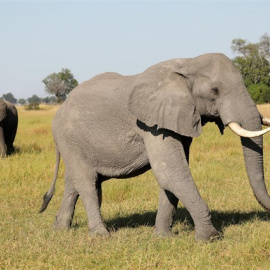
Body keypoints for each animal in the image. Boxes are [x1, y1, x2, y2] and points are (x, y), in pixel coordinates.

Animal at [39, 52, 270, 240]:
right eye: (215, 90)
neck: (188, 63)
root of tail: (60, 108)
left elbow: (171, 177)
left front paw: (163, 237)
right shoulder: (151, 124)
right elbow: (170, 172)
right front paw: (210, 238)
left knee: (76, 182)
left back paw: (60, 229)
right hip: (68, 137)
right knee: (86, 182)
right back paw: (101, 235)